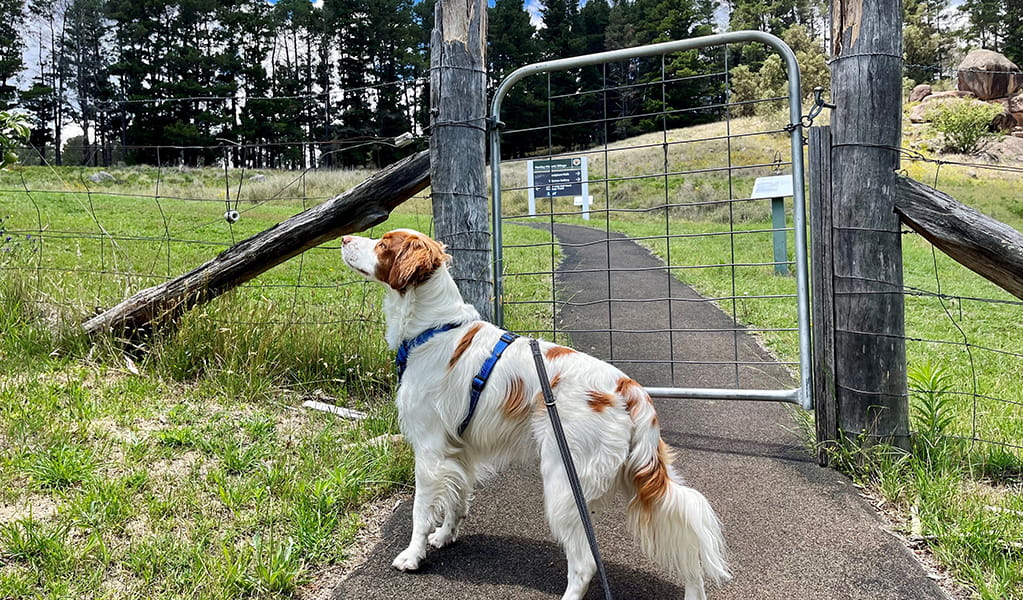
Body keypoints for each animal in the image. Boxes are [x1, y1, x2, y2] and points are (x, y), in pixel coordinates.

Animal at [341, 227, 728, 596]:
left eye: (383, 244)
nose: (344, 238)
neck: (434, 329)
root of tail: (628, 389)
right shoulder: (460, 448)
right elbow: (457, 498)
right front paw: (445, 535)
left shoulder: (429, 450)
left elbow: (420, 511)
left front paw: (412, 555)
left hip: (563, 485)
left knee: (585, 564)